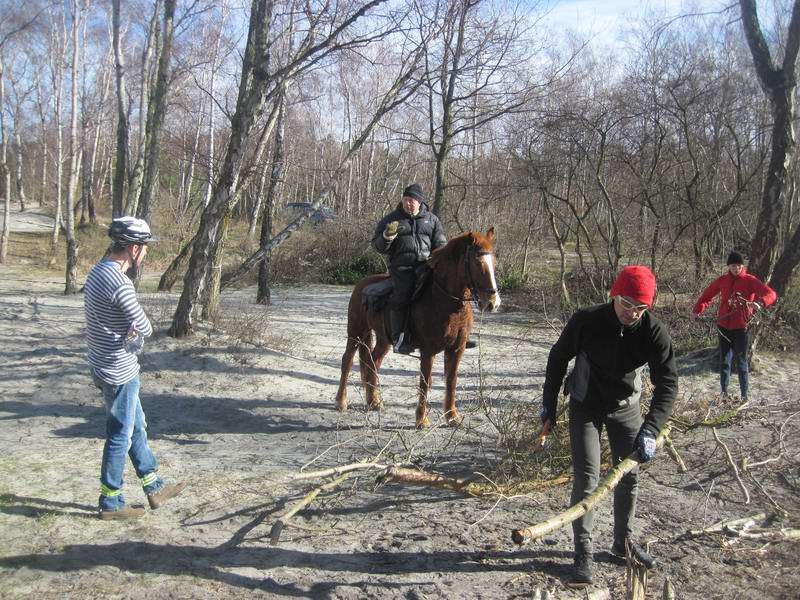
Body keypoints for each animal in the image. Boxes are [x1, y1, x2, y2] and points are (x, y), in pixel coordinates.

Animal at [336, 227, 500, 428]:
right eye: (477, 262)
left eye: (494, 262)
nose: (492, 303)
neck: (445, 302)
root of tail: (361, 285)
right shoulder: (428, 350)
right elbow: (425, 381)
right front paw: (421, 419)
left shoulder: (457, 348)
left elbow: (451, 379)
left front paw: (452, 416)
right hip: (356, 332)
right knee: (347, 360)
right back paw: (341, 401)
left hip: (383, 339)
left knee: (373, 362)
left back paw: (374, 401)